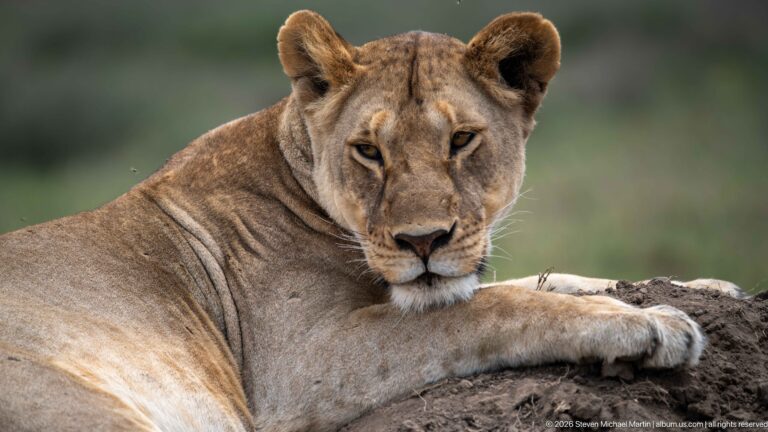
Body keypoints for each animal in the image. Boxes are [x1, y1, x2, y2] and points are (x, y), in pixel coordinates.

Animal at [0, 10, 745, 432]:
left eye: (461, 140)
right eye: (368, 150)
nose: (423, 242)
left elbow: (541, 281)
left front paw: (708, 290)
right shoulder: (297, 366)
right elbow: (489, 309)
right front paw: (651, 326)